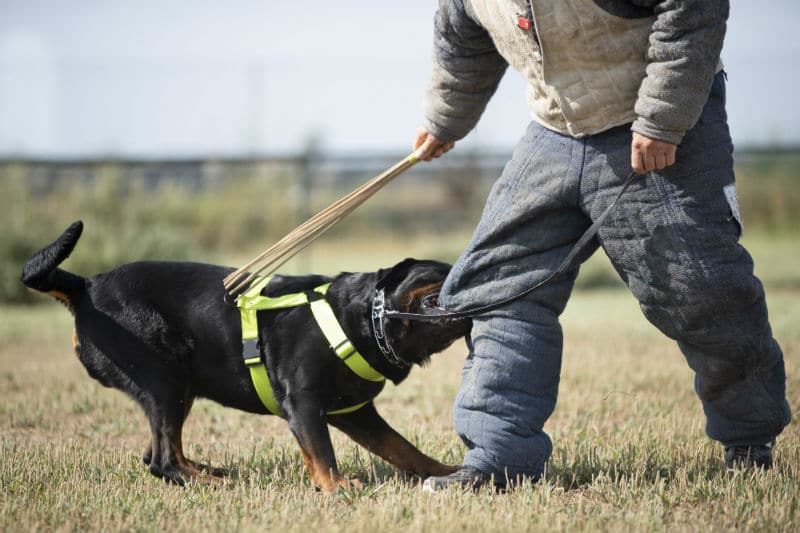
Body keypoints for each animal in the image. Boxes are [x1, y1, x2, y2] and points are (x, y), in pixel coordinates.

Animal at [21, 220, 468, 490]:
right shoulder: (304, 402)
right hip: (164, 378)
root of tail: (85, 287)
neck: (362, 321)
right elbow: (322, 452)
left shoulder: (355, 411)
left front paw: (447, 473)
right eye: (443, 270)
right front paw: (337, 487)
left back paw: (205, 471)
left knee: (158, 450)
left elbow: (401, 447)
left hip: (178, 386)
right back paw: (215, 483)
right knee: (161, 458)